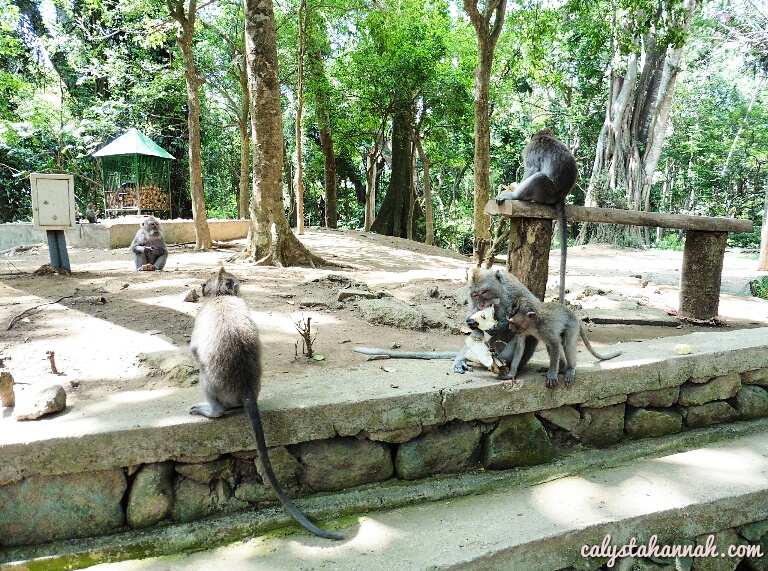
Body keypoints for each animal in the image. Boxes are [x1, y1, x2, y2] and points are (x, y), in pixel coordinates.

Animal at [189, 267, 342, 541]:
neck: (221, 296)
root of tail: (247, 390)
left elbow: (195, 350)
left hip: (215, 385)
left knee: (205, 374)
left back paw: (212, 410)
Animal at [495, 128, 578, 304]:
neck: (544, 136)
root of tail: (560, 197)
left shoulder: (531, 151)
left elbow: (532, 169)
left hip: (545, 192)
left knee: (538, 177)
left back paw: (515, 196)